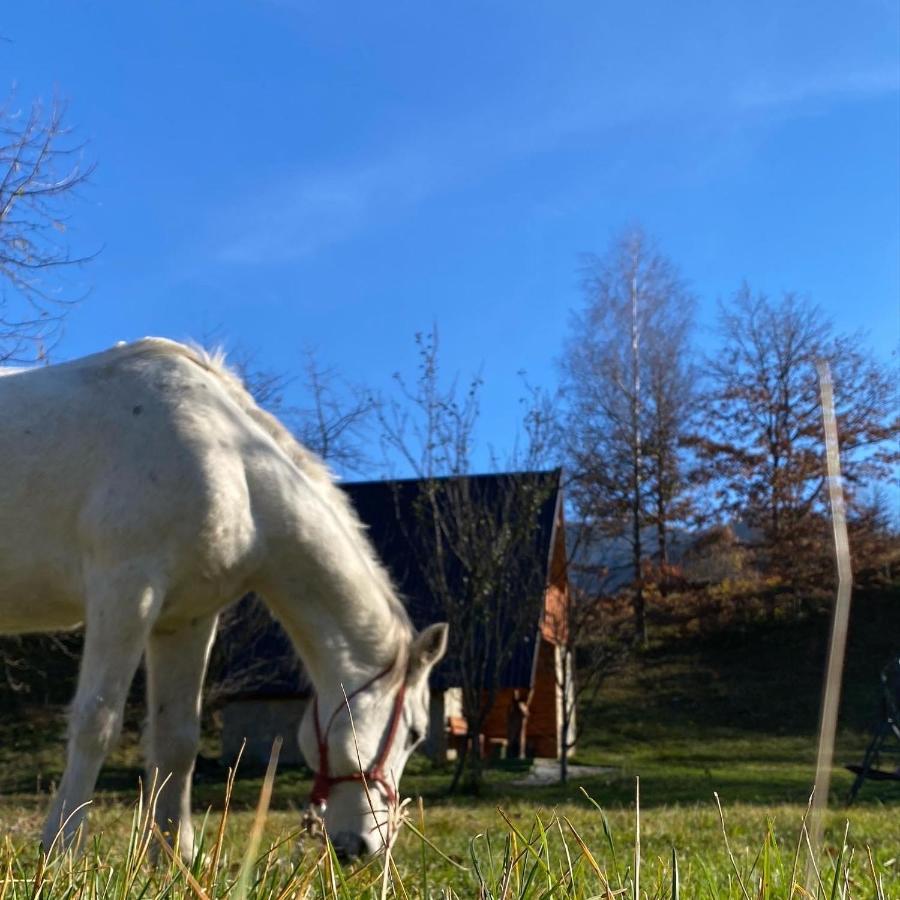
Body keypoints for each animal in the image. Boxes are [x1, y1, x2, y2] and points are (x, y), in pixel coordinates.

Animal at [0, 338, 450, 856]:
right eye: (415, 733)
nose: (365, 846)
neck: (231, 463)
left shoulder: (185, 620)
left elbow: (178, 741)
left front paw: (175, 856)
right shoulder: (126, 593)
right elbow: (97, 721)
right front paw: (62, 849)